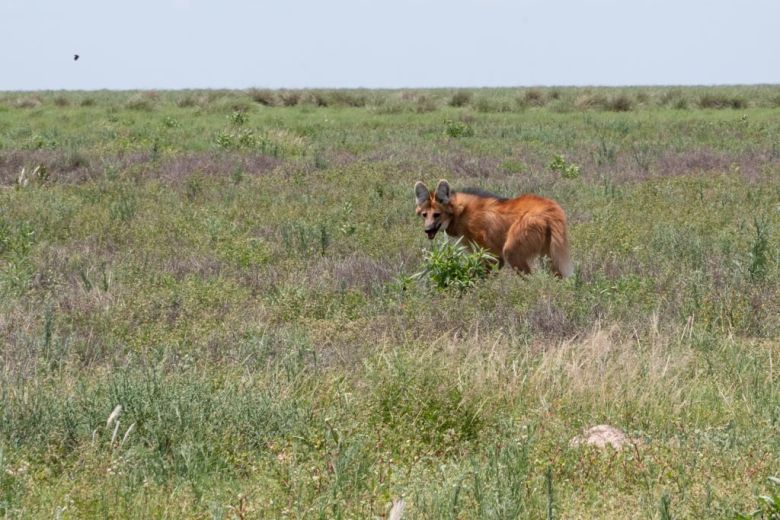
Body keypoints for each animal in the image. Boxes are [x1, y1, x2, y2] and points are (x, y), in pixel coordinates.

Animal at [414, 179, 572, 276]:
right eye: (424, 215)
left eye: (437, 215)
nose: (427, 230)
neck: (460, 213)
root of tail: (551, 209)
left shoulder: (492, 255)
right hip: (550, 251)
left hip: (513, 249)